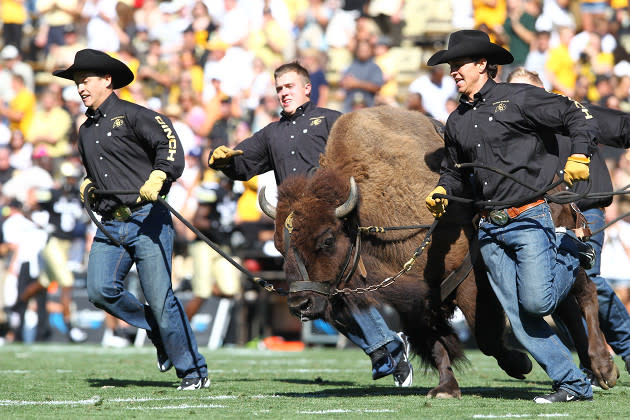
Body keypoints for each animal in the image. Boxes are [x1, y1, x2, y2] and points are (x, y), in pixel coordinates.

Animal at [260, 105, 620, 398]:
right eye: (281, 245)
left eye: (326, 240)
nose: (300, 304)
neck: (366, 214)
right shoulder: (413, 302)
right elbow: (435, 344)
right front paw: (446, 388)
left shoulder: (470, 282)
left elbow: (485, 336)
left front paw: (520, 363)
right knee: (565, 307)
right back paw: (593, 369)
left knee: (584, 292)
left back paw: (604, 368)